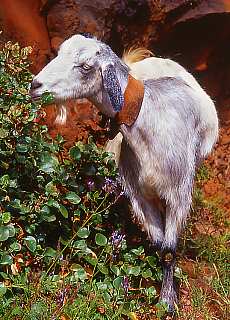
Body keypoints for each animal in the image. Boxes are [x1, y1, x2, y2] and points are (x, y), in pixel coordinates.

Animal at [30, 33, 219, 312]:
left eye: (85, 66)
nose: (35, 85)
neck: (148, 122)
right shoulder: (139, 197)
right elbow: (159, 245)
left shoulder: (178, 194)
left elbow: (169, 250)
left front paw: (168, 301)